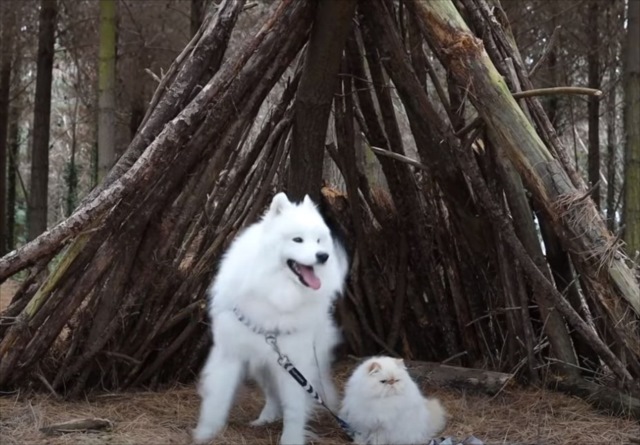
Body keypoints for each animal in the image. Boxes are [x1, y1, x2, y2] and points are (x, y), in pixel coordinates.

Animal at [194, 192, 350, 444]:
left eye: (318, 241)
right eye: (298, 240)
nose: (324, 256)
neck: (274, 290)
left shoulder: (295, 362)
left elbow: (294, 409)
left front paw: (291, 439)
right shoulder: (231, 353)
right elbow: (217, 398)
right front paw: (206, 433)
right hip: (263, 364)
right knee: (271, 394)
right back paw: (265, 418)